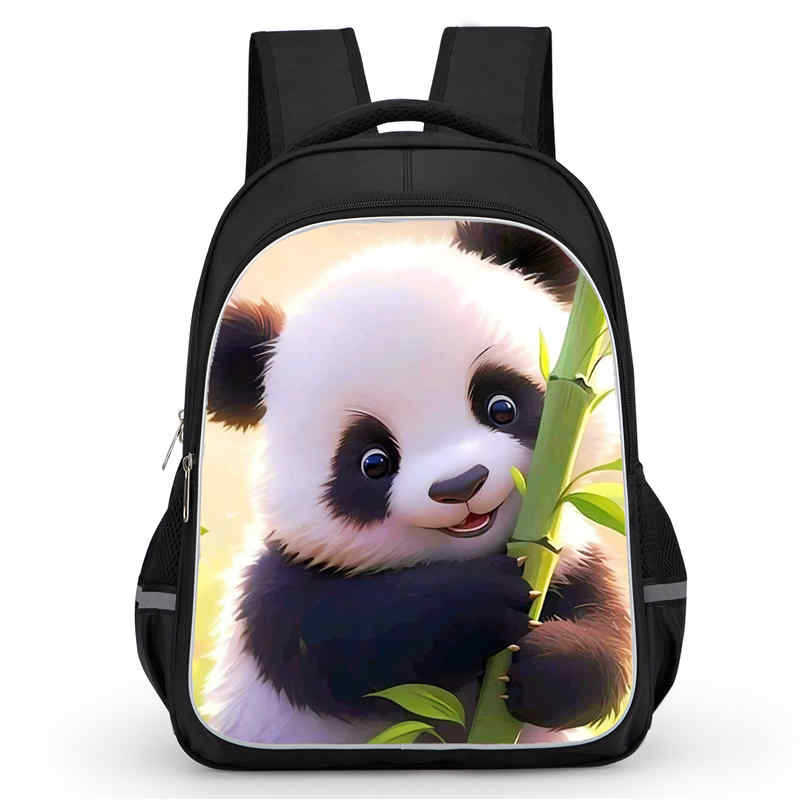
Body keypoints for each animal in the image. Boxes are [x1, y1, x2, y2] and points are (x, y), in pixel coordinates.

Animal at [200, 221, 632, 745]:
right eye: (374, 462)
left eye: (501, 406)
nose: (462, 485)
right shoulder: (273, 587)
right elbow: (343, 643)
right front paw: (477, 601)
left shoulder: (564, 555)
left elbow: (605, 632)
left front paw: (547, 667)